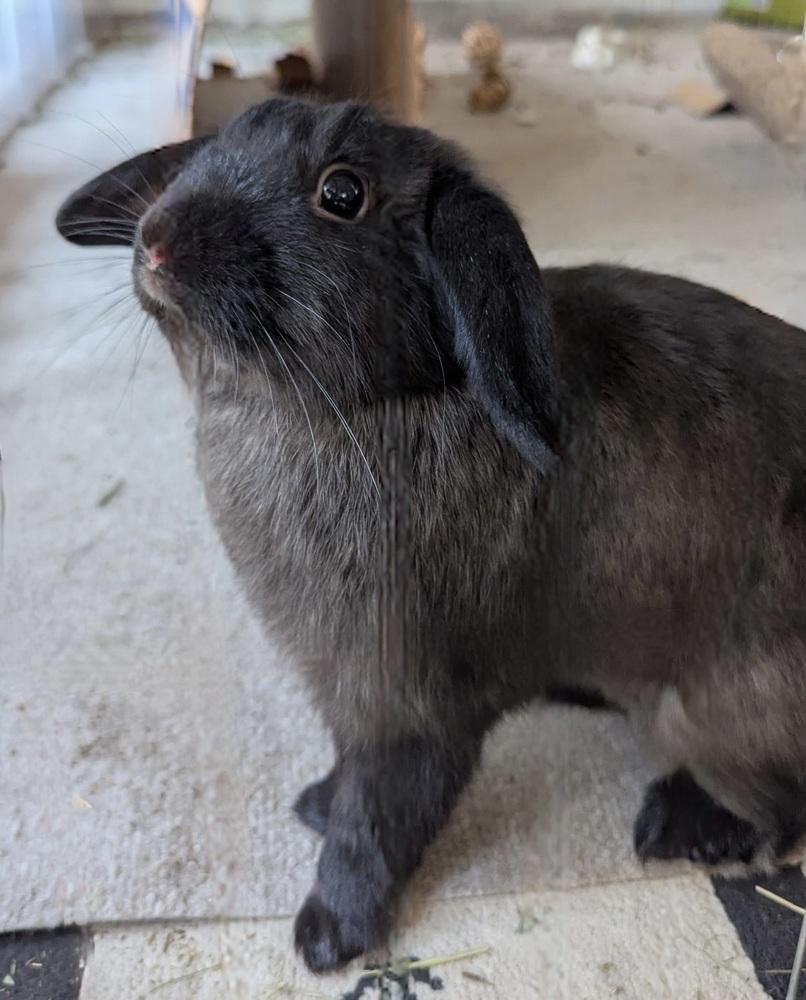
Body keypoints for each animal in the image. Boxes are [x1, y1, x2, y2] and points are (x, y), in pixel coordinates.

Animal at [56, 96, 806, 972]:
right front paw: (317, 803)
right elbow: (350, 781)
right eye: (234, 131)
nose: (156, 240)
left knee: (777, 805)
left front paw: (328, 936)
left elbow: (379, 819)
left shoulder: (404, 700)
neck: (381, 403)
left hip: (712, 716)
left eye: (342, 194)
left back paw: (680, 825)